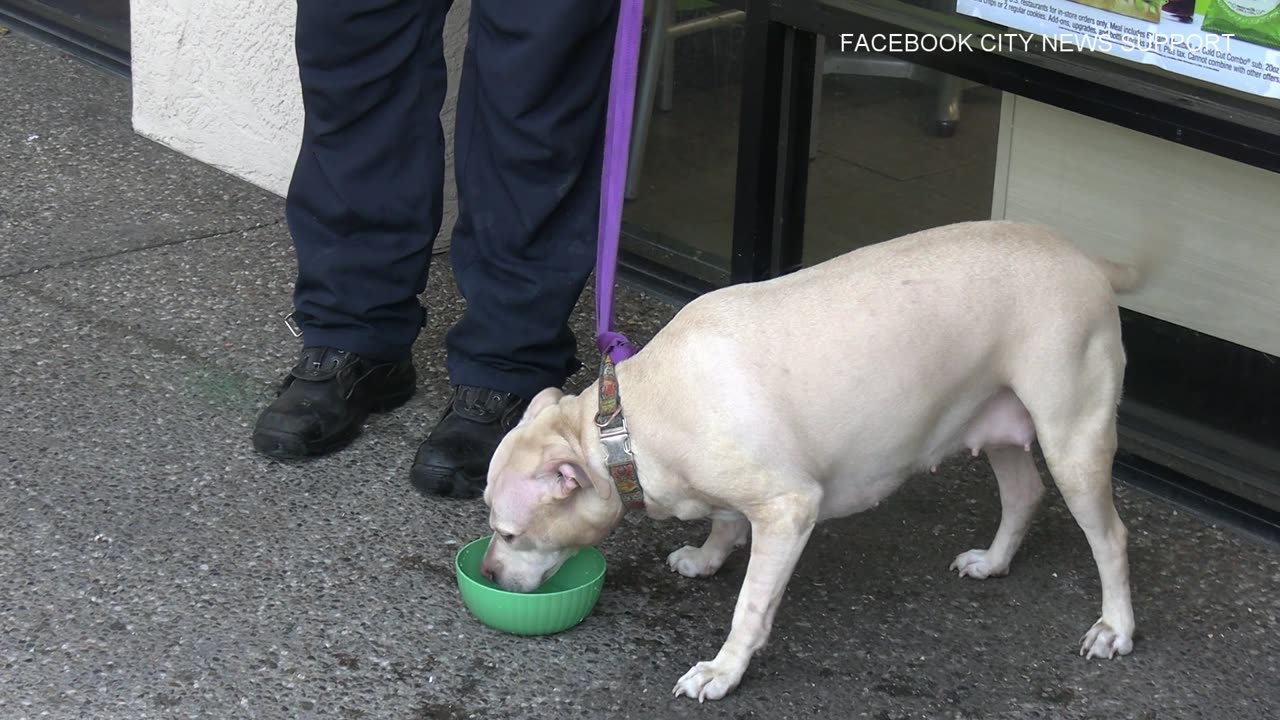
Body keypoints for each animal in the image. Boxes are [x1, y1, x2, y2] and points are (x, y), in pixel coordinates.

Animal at [481, 220, 1152, 702]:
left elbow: (751, 606)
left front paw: (723, 670)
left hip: (1073, 436)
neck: (624, 423)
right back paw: (993, 561)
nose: (485, 573)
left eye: (508, 532)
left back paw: (1115, 627)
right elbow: (725, 519)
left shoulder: (788, 509)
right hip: (997, 424)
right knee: (1023, 493)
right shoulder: (741, 490)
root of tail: (1083, 258)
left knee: (1111, 537)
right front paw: (706, 556)